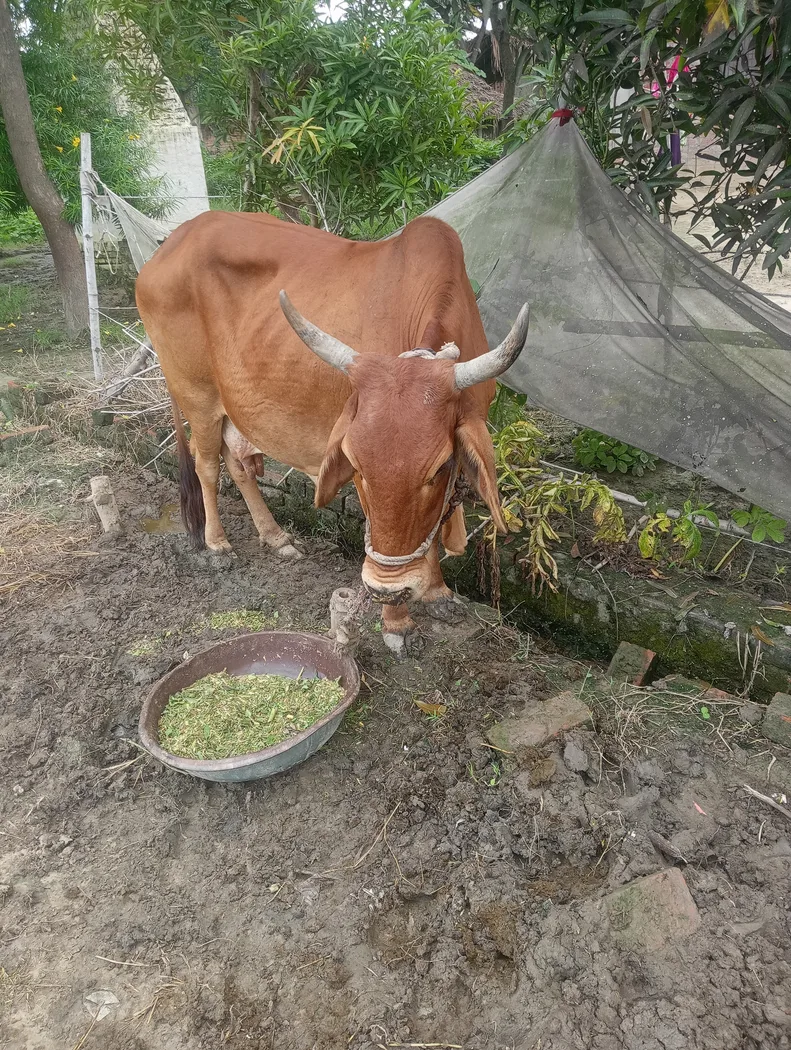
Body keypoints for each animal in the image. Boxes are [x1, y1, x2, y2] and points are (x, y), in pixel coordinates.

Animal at [135, 211, 529, 655]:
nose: (388, 590)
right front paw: (397, 621)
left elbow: (435, 519)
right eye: (357, 464)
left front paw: (437, 592)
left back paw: (276, 537)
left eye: (440, 466)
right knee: (205, 467)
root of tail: (170, 244)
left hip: (231, 405)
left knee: (236, 464)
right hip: (196, 395)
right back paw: (218, 545)